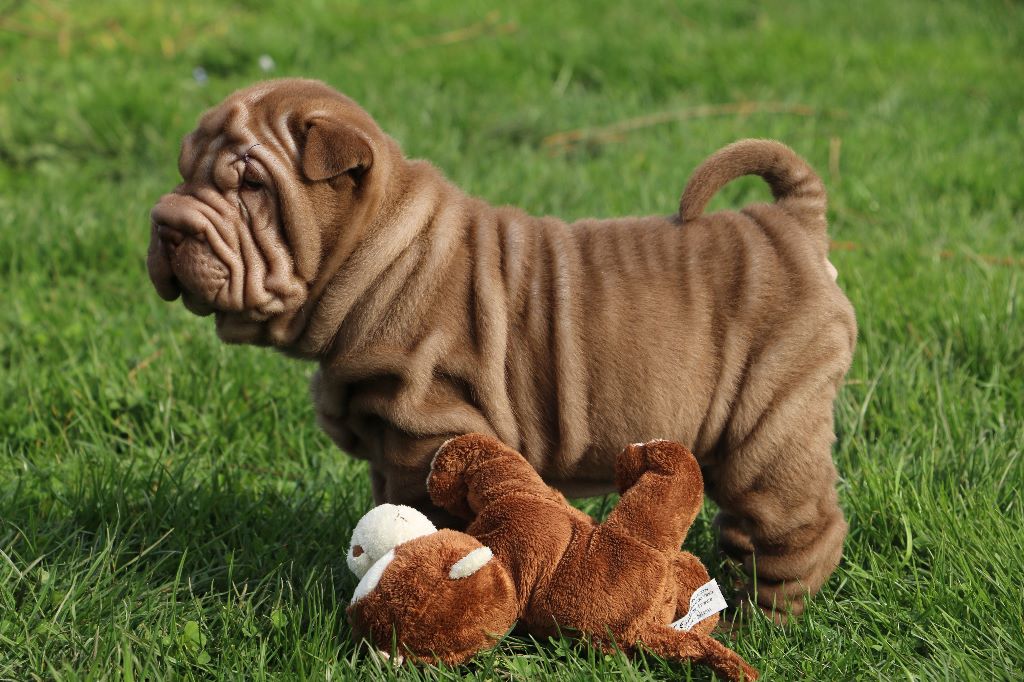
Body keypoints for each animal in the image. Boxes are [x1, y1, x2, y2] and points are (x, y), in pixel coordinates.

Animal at [147, 78, 856, 619]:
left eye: (251, 187)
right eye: (184, 172)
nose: (164, 224)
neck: (379, 256)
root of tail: (792, 221)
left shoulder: (425, 432)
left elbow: (428, 517)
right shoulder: (383, 438)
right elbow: (385, 505)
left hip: (772, 421)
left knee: (797, 527)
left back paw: (766, 620)